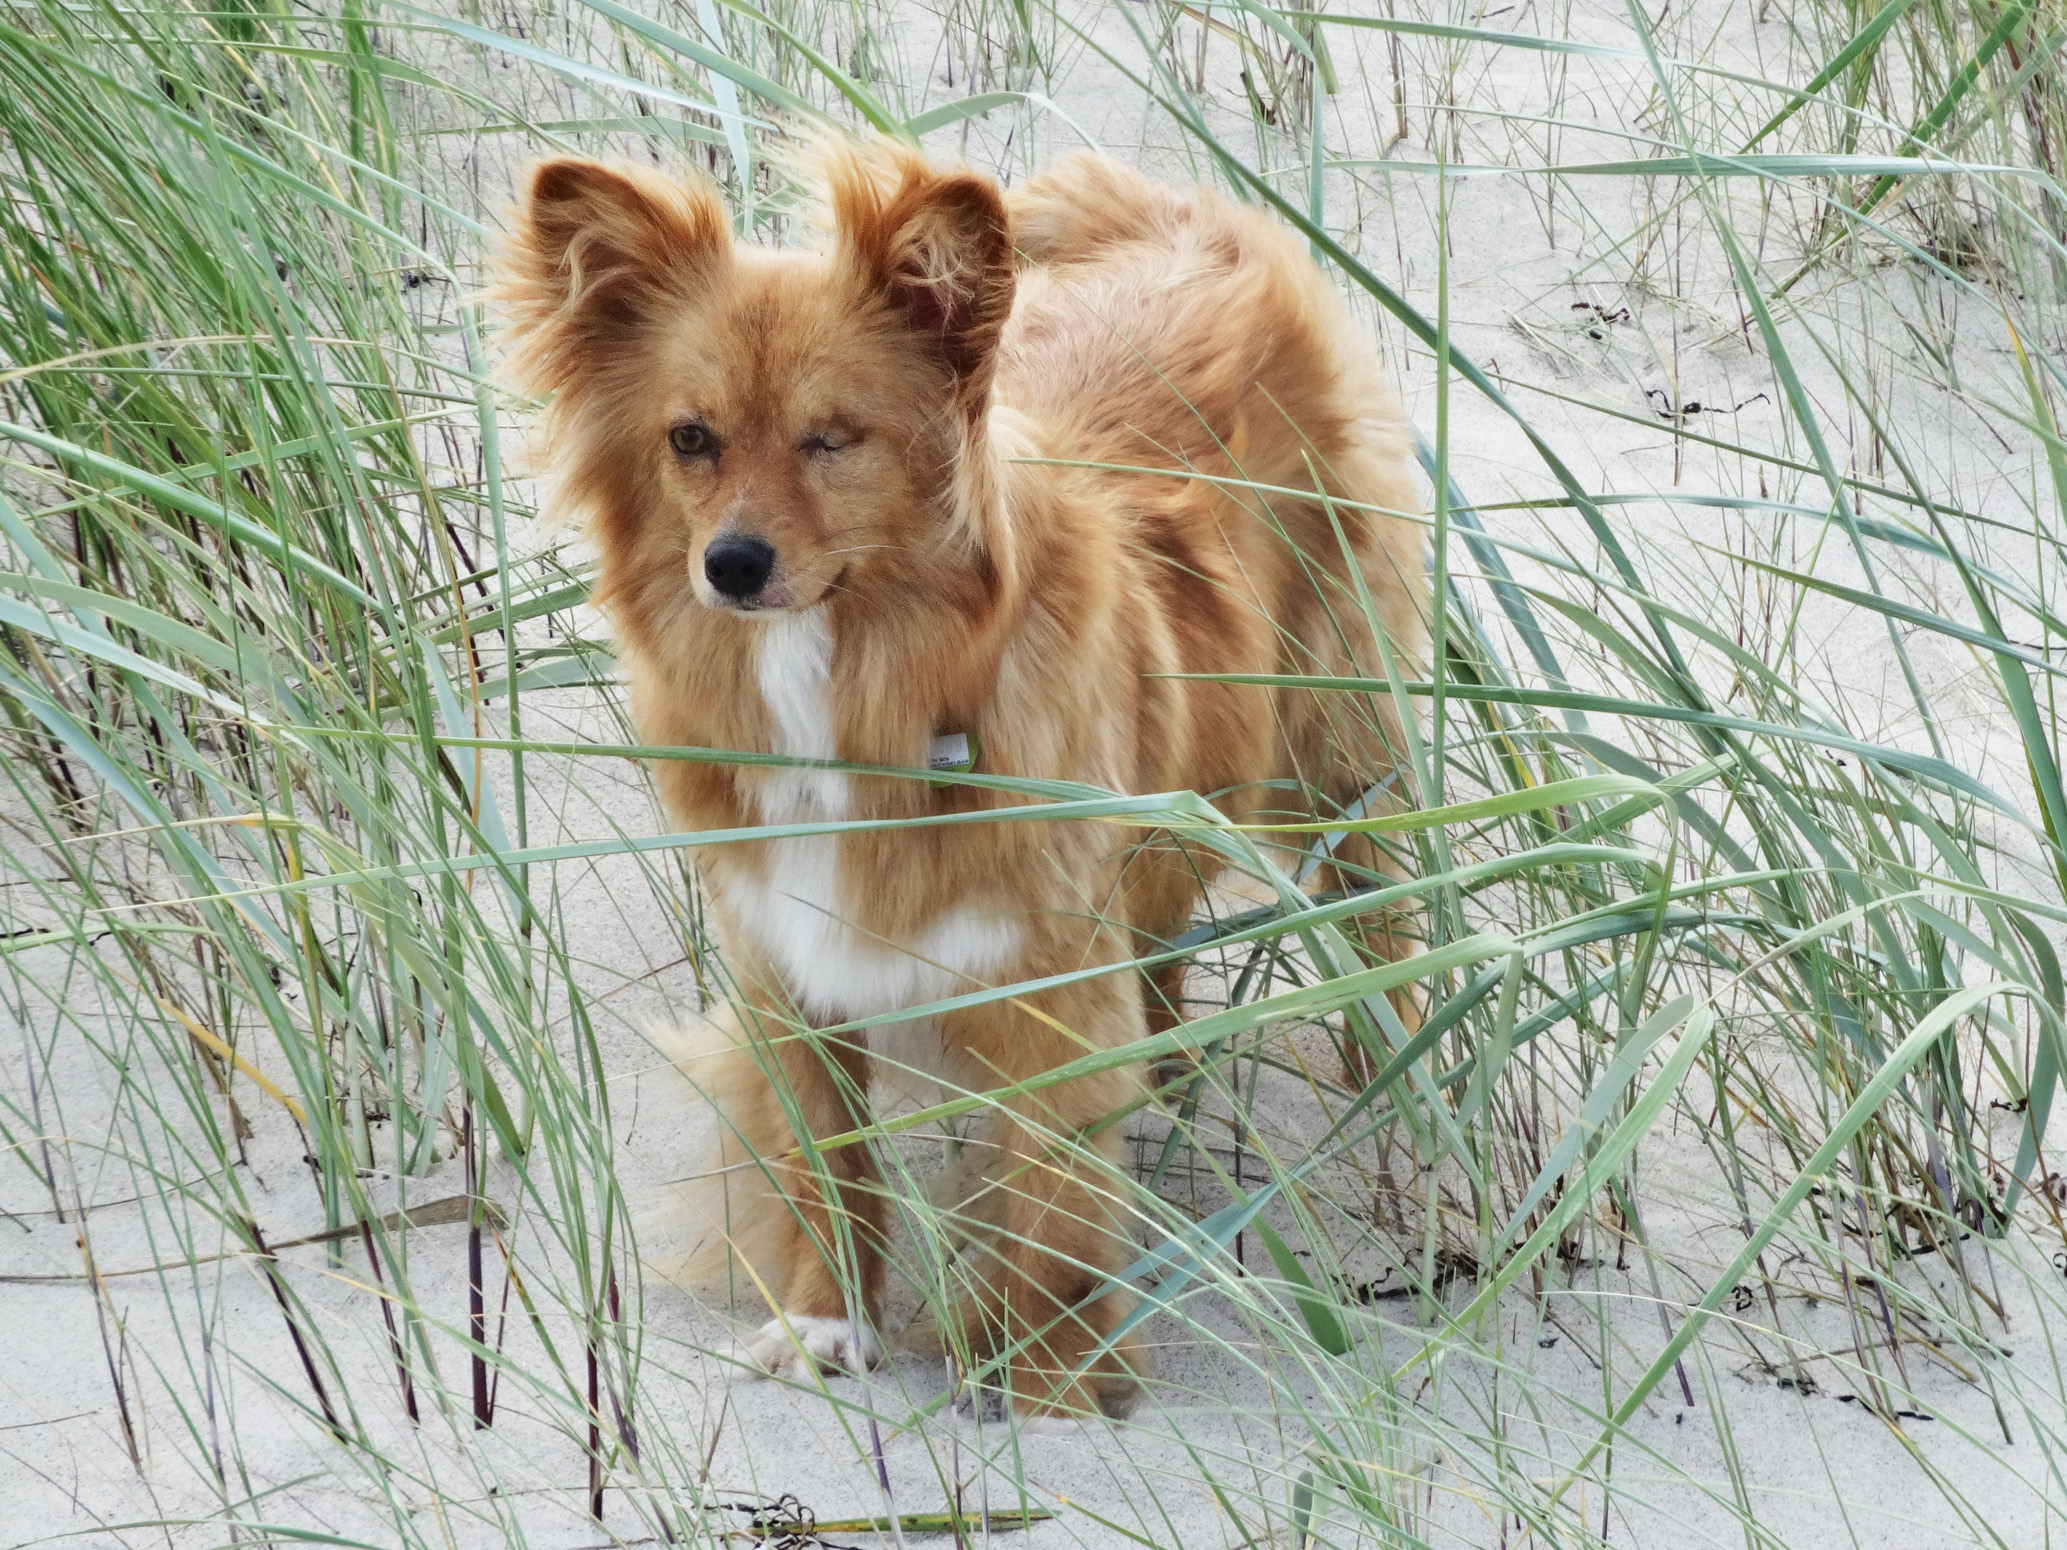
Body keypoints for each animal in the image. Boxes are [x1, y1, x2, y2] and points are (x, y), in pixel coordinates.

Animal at [498, 137, 1425, 1420]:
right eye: (690, 438)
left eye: (833, 438)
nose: (730, 565)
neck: (864, 689)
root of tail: (1178, 211)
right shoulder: (790, 971)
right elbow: (826, 1165)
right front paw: (827, 1322)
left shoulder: (1047, 995)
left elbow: (1048, 1202)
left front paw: (1048, 1377)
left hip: (1336, 756)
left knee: (1383, 917)